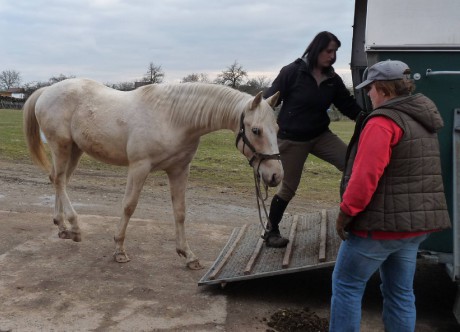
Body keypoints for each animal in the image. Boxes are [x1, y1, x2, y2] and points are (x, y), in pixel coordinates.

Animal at [23, 80, 282, 270]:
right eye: (256, 130)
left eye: (277, 128)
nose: (275, 175)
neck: (174, 118)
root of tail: (47, 90)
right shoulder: (139, 167)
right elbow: (129, 206)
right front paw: (119, 250)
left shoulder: (179, 170)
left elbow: (180, 211)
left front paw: (188, 254)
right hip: (61, 146)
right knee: (59, 181)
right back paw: (74, 227)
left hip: (75, 150)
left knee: (59, 181)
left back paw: (62, 226)